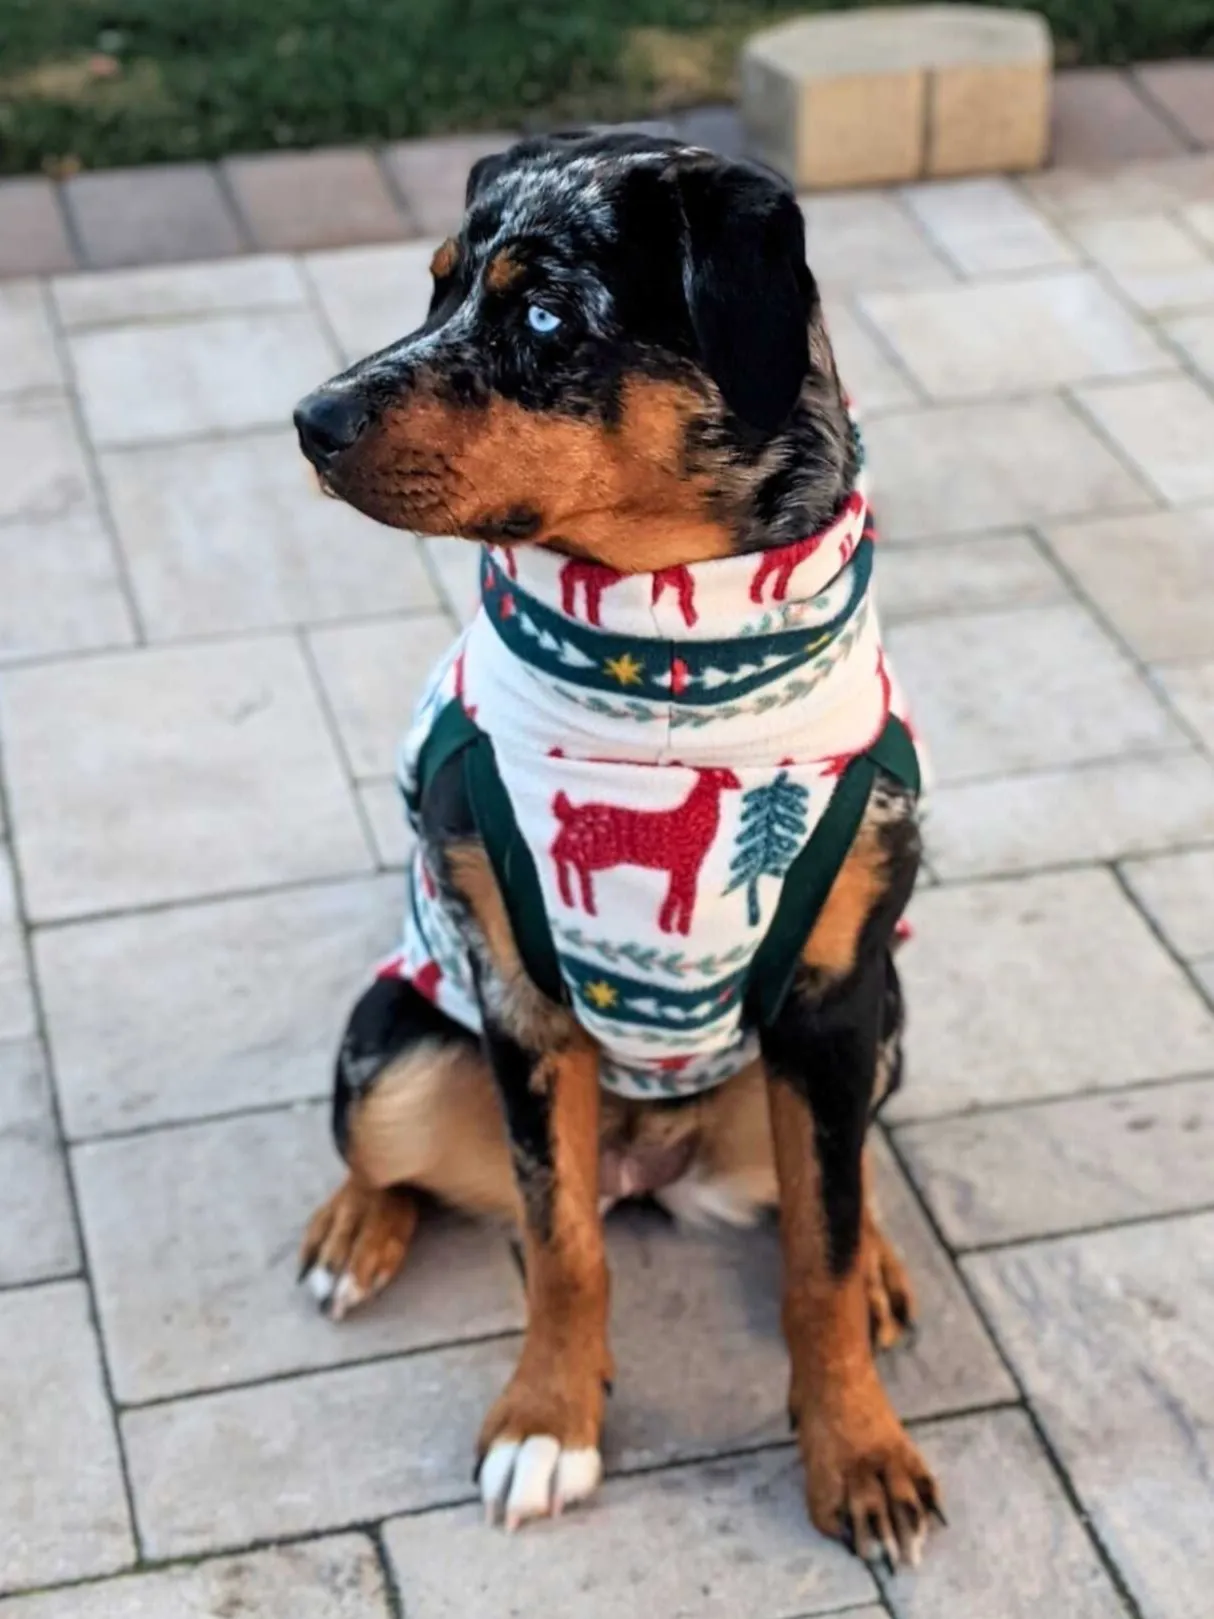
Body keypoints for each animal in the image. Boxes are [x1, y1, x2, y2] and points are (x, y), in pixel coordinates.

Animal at [294, 129, 938, 1567]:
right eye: (433, 285)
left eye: (540, 314)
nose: (310, 419)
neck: (667, 653)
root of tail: (656, 1155)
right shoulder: (522, 1000)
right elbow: (562, 1244)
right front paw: (548, 1421)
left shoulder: (834, 1002)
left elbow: (817, 1251)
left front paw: (859, 1449)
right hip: (393, 1050)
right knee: (414, 1158)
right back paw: (353, 1227)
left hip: (885, 1029)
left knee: (838, 1184)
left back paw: (879, 1263)